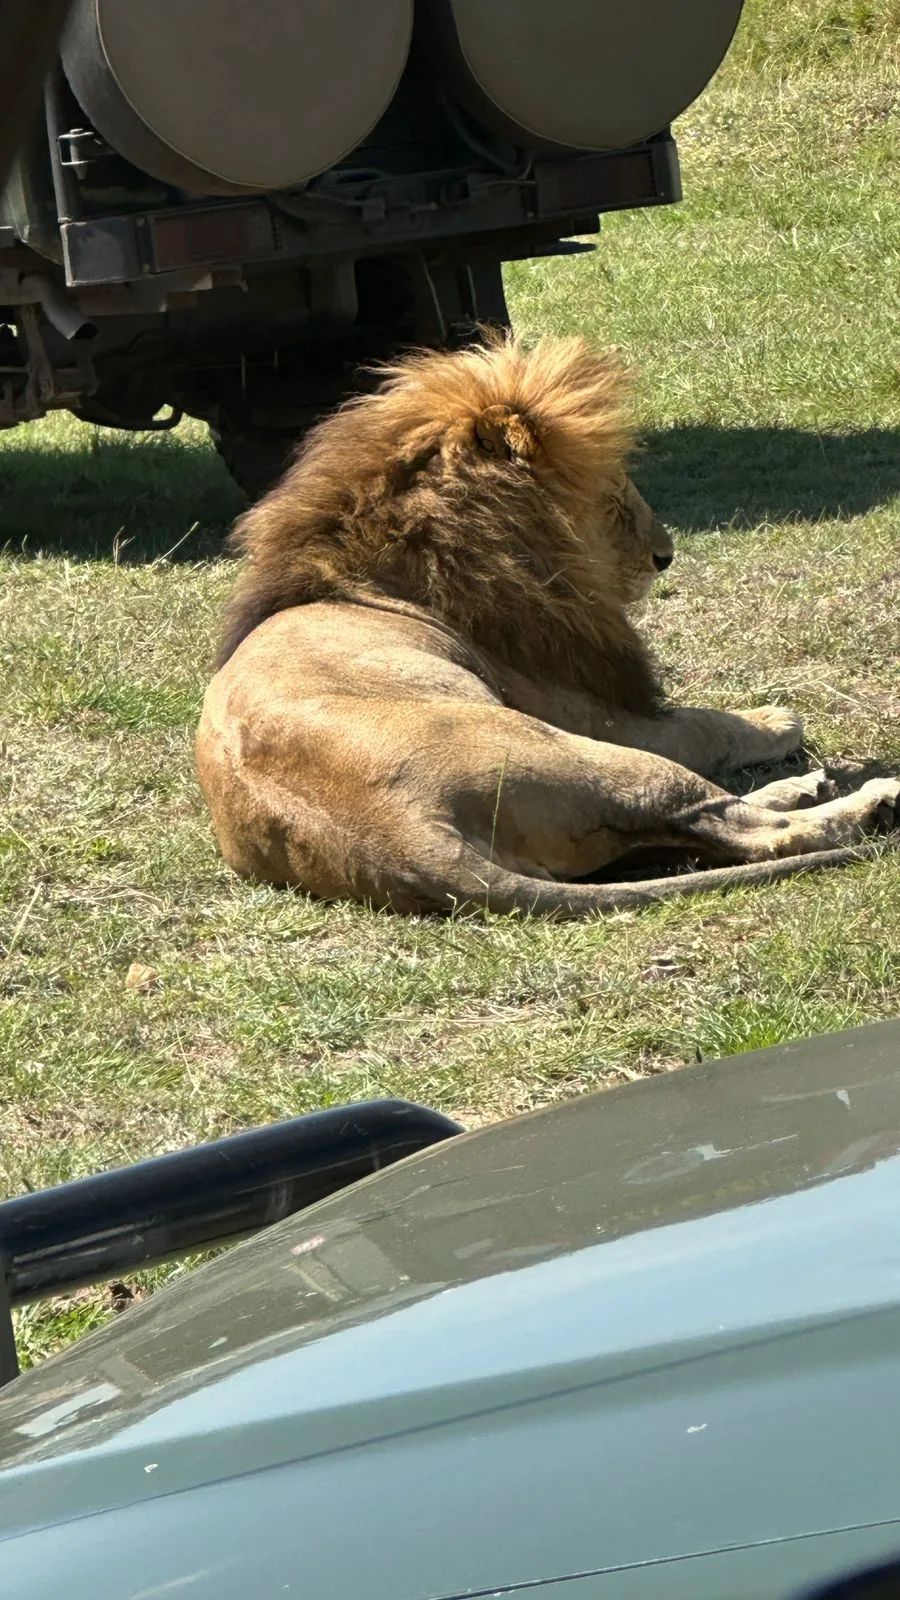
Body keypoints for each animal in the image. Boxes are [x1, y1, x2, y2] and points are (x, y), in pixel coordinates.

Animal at [196, 332, 899, 917]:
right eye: (613, 496)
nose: (665, 555)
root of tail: (393, 836)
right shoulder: (601, 714)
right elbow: (709, 725)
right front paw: (774, 719)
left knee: (711, 825)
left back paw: (807, 786)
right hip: (583, 752)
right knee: (747, 826)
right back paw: (869, 800)